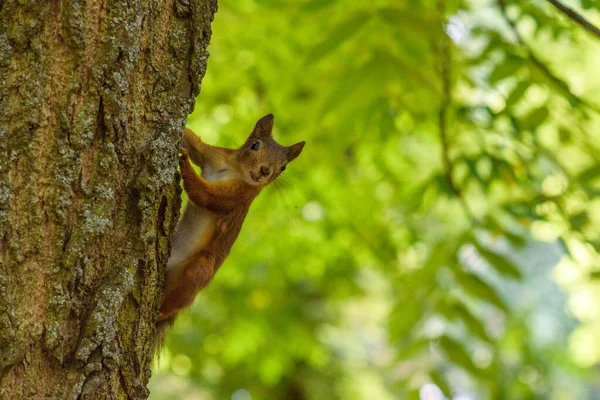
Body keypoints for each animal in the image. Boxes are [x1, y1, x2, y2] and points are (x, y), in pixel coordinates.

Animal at [156, 115, 304, 324]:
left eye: (283, 167)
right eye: (255, 145)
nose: (265, 171)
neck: (234, 170)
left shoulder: (237, 196)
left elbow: (205, 195)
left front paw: (184, 162)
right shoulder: (214, 156)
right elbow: (195, 145)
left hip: (198, 271)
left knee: (179, 300)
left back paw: (162, 310)